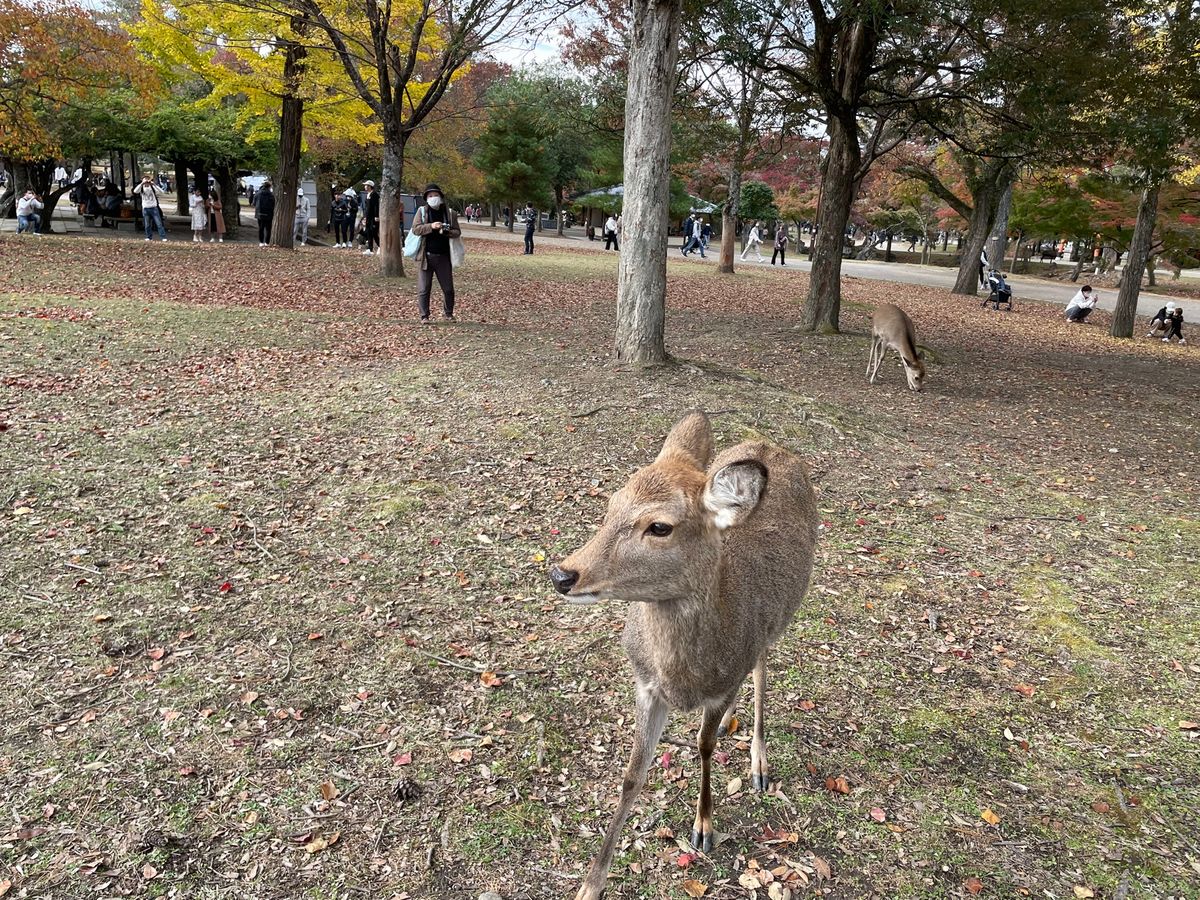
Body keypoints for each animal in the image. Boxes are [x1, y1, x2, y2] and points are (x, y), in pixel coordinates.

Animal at [548, 411, 818, 900]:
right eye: (612, 504)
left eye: (660, 526)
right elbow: (632, 775)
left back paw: (759, 763)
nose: (562, 574)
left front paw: (704, 827)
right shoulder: (645, 685)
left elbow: (704, 745)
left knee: (762, 671)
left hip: (777, 622)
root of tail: (770, 445)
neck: (684, 677)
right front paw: (590, 884)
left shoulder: (729, 673)